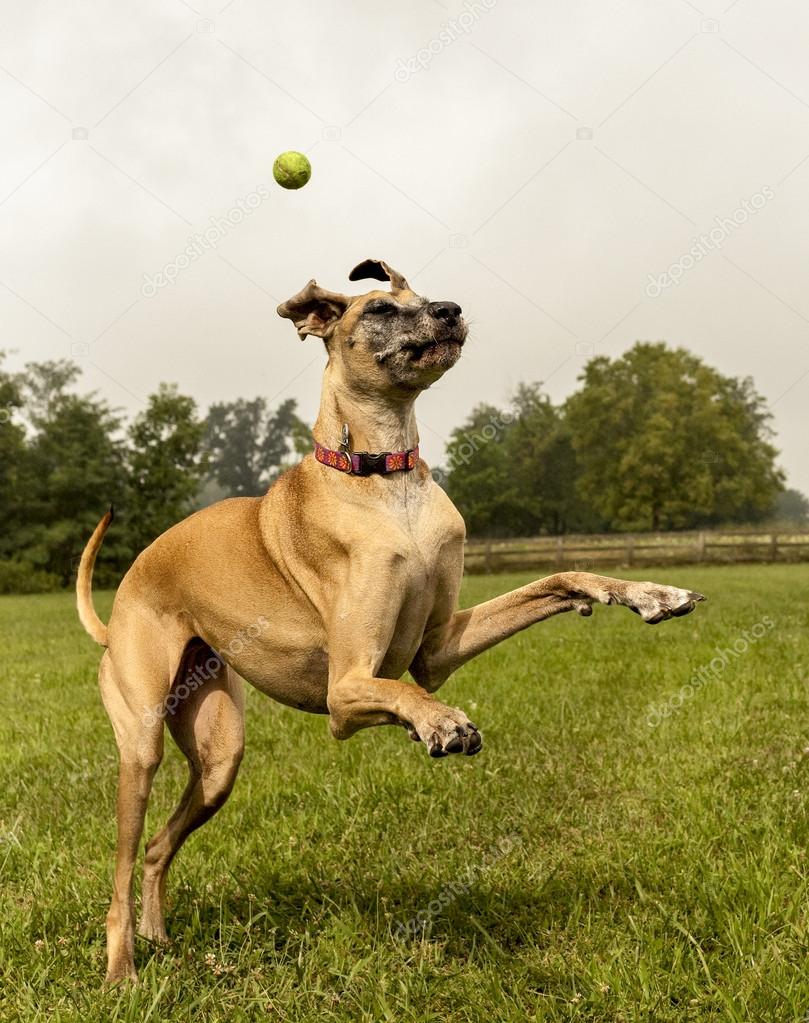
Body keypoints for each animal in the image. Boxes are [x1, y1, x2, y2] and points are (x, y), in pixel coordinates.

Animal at [79, 257, 703, 982]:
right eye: (378, 308)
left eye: (423, 294)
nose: (450, 310)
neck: (385, 481)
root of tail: (119, 606)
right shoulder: (345, 691)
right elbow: (396, 688)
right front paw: (440, 723)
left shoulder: (439, 648)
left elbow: (557, 579)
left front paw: (648, 592)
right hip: (141, 745)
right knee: (121, 869)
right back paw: (122, 971)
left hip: (218, 760)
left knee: (155, 850)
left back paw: (157, 939)